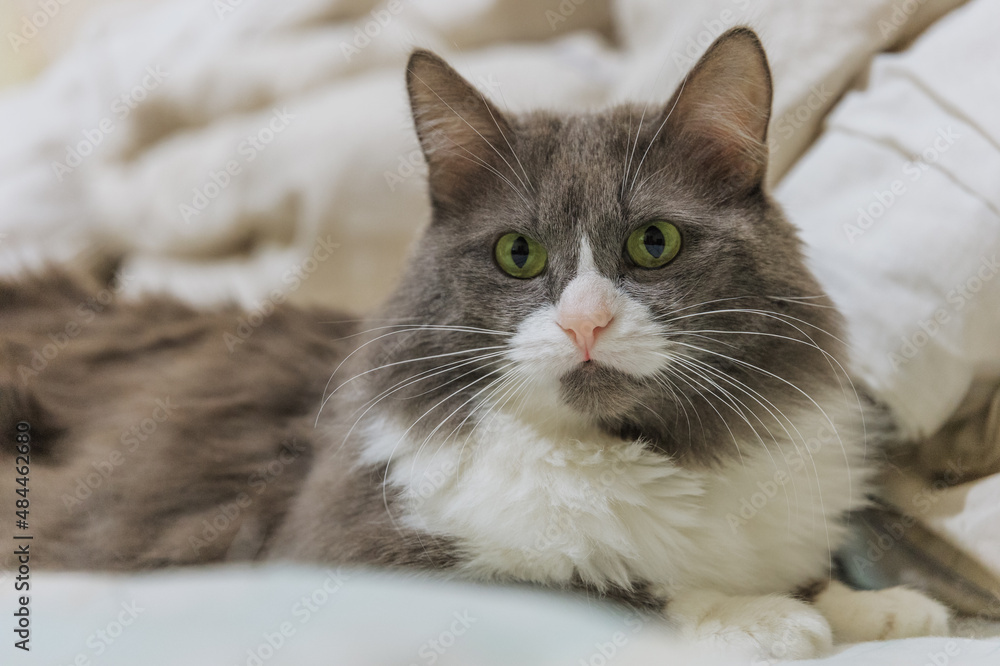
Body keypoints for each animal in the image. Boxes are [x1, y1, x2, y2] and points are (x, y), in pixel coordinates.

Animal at [1, 27, 952, 660]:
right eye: (518, 254)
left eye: (654, 244)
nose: (585, 322)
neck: (639, 454)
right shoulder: (350, 555)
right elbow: (594, 585)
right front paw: (759, 616)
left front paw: (882, 608)